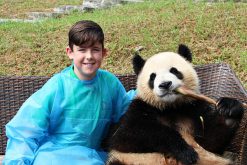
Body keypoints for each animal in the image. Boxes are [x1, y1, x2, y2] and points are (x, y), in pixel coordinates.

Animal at [105, 44, 244, 165]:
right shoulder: (141, 107)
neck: (170, 107)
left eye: (174, 71)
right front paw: (186, 152)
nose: (165, 84)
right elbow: (125, 134)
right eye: (152, 77)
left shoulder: (192, 108)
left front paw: (229, 108)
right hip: (125, 160)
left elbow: (211, 141)